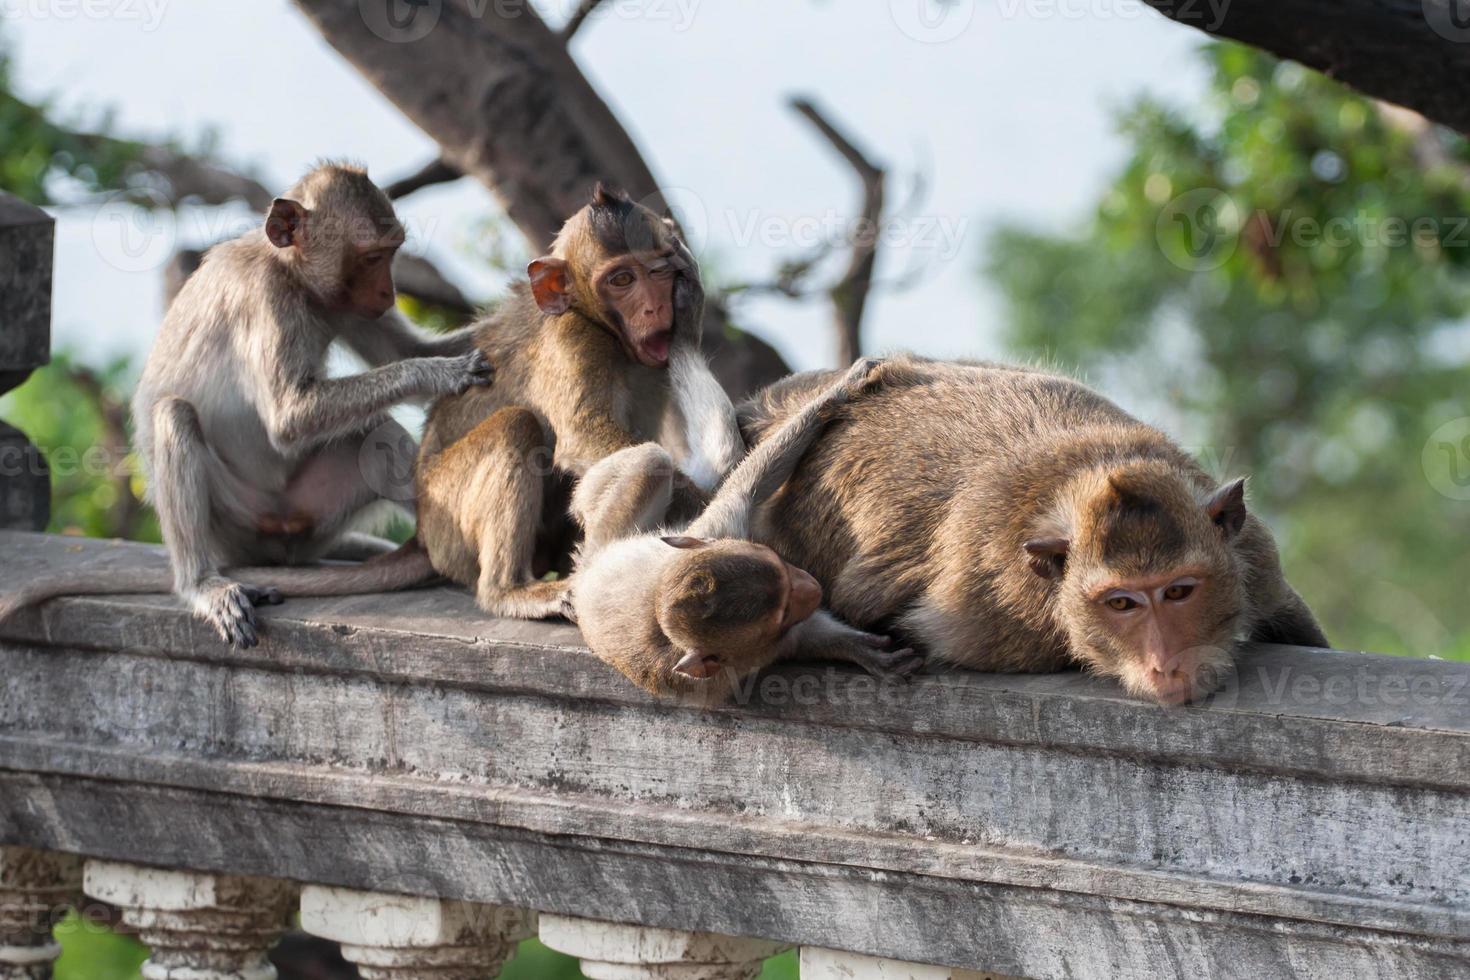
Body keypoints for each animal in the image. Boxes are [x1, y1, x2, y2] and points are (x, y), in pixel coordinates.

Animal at [0, 163, 493, 646]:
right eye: (373, 257)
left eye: (392, 252)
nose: (389, 293)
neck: (292, 275)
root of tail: (273, 545)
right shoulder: (265, 299)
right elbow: (289, 417)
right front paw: (439, 373)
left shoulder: (345, 305)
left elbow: (403, 349)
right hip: (235, 520)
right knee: (175, 415)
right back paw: (201, 583)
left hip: (316, 513)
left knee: (375, 435)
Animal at [414, 182, 740, 620]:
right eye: (622, 279)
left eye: (658, 271)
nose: (655, 308)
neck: (611, 338)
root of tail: (422, 530)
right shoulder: (573, 340)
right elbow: (584, 437)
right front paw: (699, 503)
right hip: (446, 517)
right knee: (516, 424)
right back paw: (510, 590)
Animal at [564, 357, 917, 702]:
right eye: (783, 609)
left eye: (777, 562)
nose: (812, 586)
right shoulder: (751, 653)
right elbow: (805, 635)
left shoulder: (721, 531)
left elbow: (748, 487)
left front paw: (842, 388)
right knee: (654, 460)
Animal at [740, 352, 1328, 705]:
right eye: (1122, 603)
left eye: (1179, 592)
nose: (1166, 666)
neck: (1084, 475)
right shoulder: (989, 622)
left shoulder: (1254, 556)